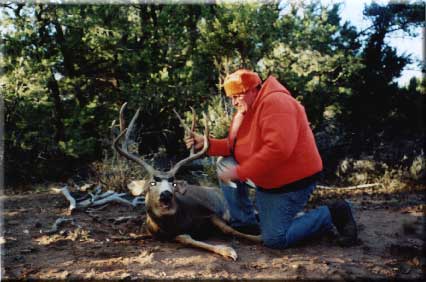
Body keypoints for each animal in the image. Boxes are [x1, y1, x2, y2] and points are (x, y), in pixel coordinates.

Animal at [113, 103, 260, 260]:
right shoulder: (167, 235)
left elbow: (229, 229)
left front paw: (258, 238)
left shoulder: (209, 212)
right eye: (152, 183)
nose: (166, 194)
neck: (176, 222)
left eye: (173, 182)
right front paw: (228, 250)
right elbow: (186, 239)